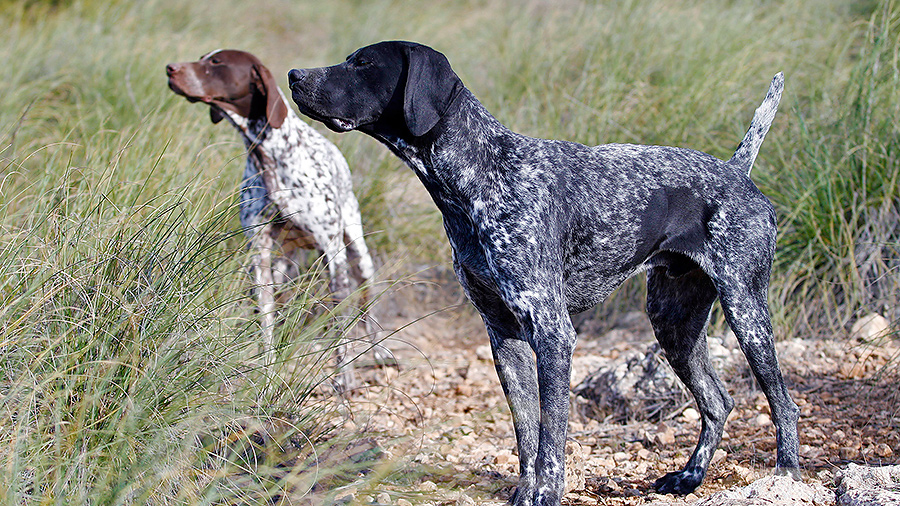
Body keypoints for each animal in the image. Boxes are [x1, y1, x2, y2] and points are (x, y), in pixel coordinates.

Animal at [167, 48, 382, 388]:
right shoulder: (260, 258)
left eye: (216, 63)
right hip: (284, 267)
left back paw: (380, 353)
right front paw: (266, 376)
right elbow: (265, 325)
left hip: (357, 253)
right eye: (204, 58)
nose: (170, 69)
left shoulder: (333, 255)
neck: (268, 156)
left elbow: (341, 324)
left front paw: (344, 377)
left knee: (367, 306)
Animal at [286, 41, 796, 504]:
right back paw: (688, 478)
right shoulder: (503, 336)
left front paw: (548, 493)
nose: (293, 75)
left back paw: (785, 478)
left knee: (783, 405)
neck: (480, 174)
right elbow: (527, 436)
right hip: (674, 323)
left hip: (746, 313)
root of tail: (736, 172)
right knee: (717, 402)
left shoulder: (552, 332)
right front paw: (525, 493)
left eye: (364, 64)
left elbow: (552, 438)